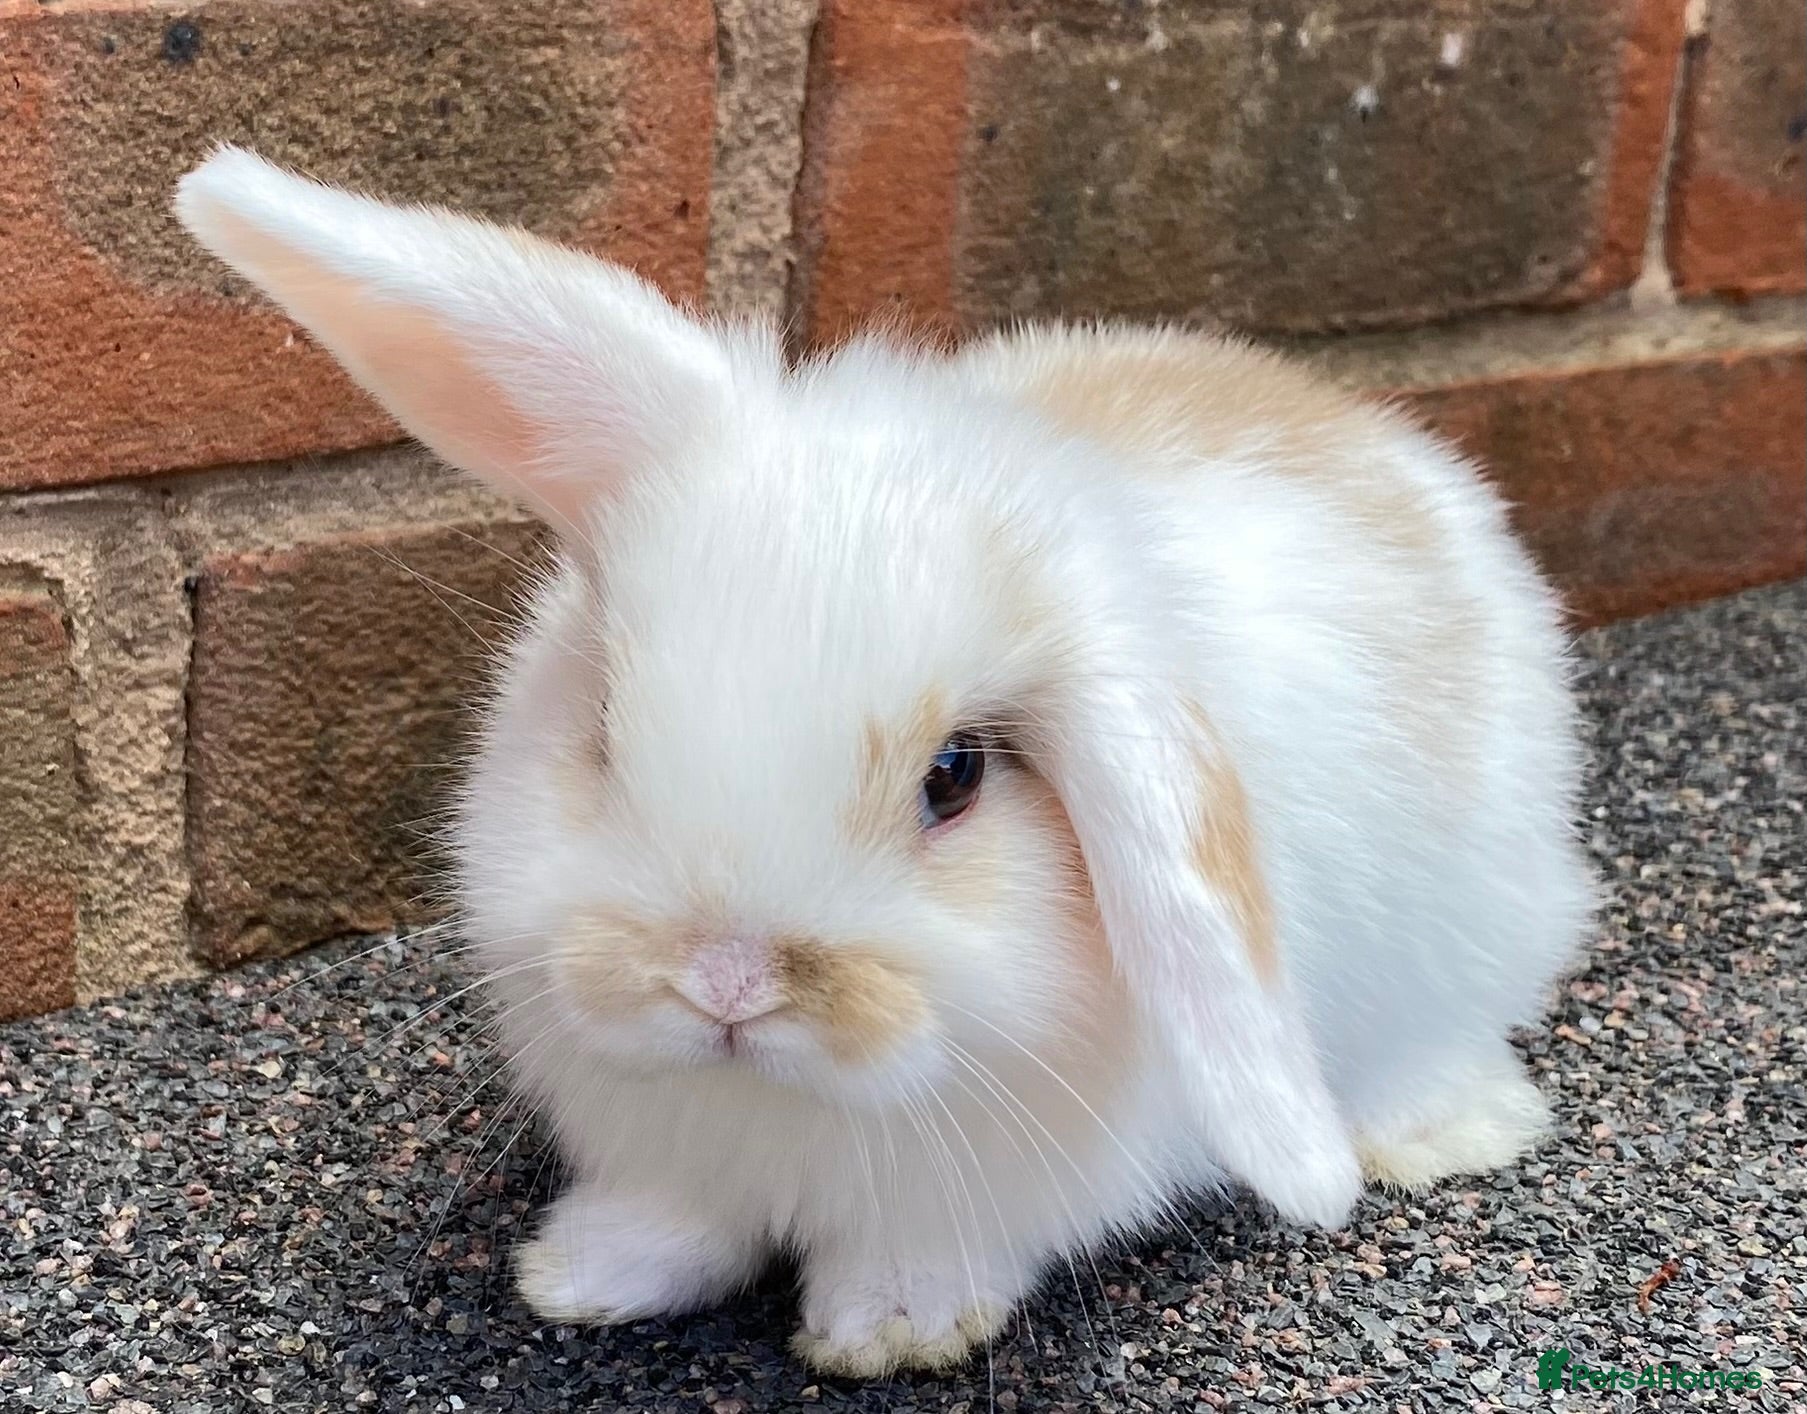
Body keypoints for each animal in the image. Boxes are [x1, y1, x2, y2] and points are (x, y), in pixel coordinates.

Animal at [175, 147, 1593, 1377]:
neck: (777, 1111)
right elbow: (674, 1217)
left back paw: (1440, 1133)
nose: (726, 982)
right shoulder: (674, 1152)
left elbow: (925, 1255)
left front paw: (889, 1332)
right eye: (605, 725)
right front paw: (585, 1276)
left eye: (956, 775)